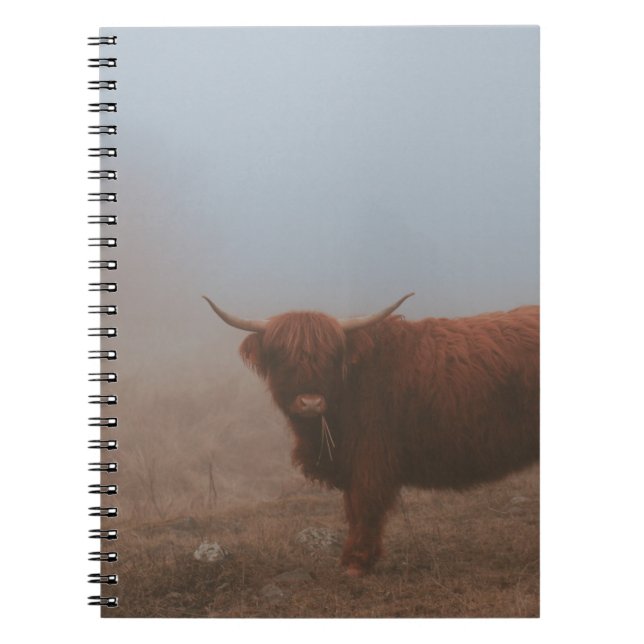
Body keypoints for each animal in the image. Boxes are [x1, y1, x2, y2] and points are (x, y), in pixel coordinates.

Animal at [203, 293, 539, 576]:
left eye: (331, 357)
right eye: (282, 357)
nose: (310, 402)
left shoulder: (371, 459)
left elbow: (365, 507)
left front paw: (356, 562)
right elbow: (353, 509)